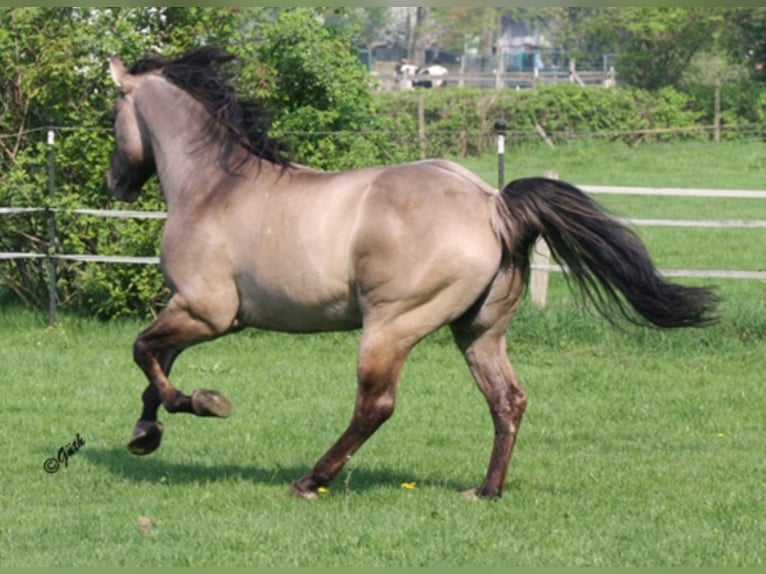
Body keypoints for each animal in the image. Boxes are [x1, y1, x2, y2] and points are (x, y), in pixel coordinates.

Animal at [106, 47, 718, 499]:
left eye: (114, 117)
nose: (117, 184)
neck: (215, 187)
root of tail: (491, 203)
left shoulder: (207, 311)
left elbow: (144, 354)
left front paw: (198, 404)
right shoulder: (194, 311)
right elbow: (155, 363)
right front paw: (145, 433)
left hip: (391, 326)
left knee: (375, 406)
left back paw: (311, 480)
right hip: (479, 330)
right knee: (508, 399)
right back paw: (485, 491)